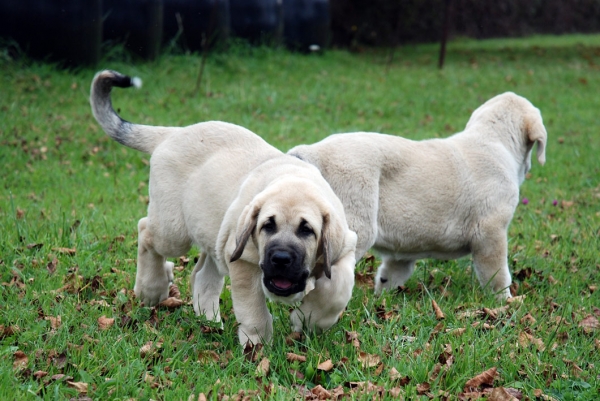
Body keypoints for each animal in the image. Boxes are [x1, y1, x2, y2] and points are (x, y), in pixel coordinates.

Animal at [89, 69, 356, 344]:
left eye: (307, 230)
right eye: (267, 226)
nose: (280, 258)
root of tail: (173, 133)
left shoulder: (343, 248)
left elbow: (338, 289)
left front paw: (310, 320)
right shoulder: (243, 259)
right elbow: (254, 312)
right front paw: (257, 345)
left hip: (214, 235)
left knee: (201, 276)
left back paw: (209, 321)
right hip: (175, 232)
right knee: (146, 232)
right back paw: (151, 289)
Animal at [288, 92, 548, 298]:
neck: (493, 141)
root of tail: (312, 152)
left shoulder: (401, 253)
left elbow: (390, 274)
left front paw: (381, 297)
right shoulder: (490, 233)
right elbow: (497, 274)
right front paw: (505, 302)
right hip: (355, 225)